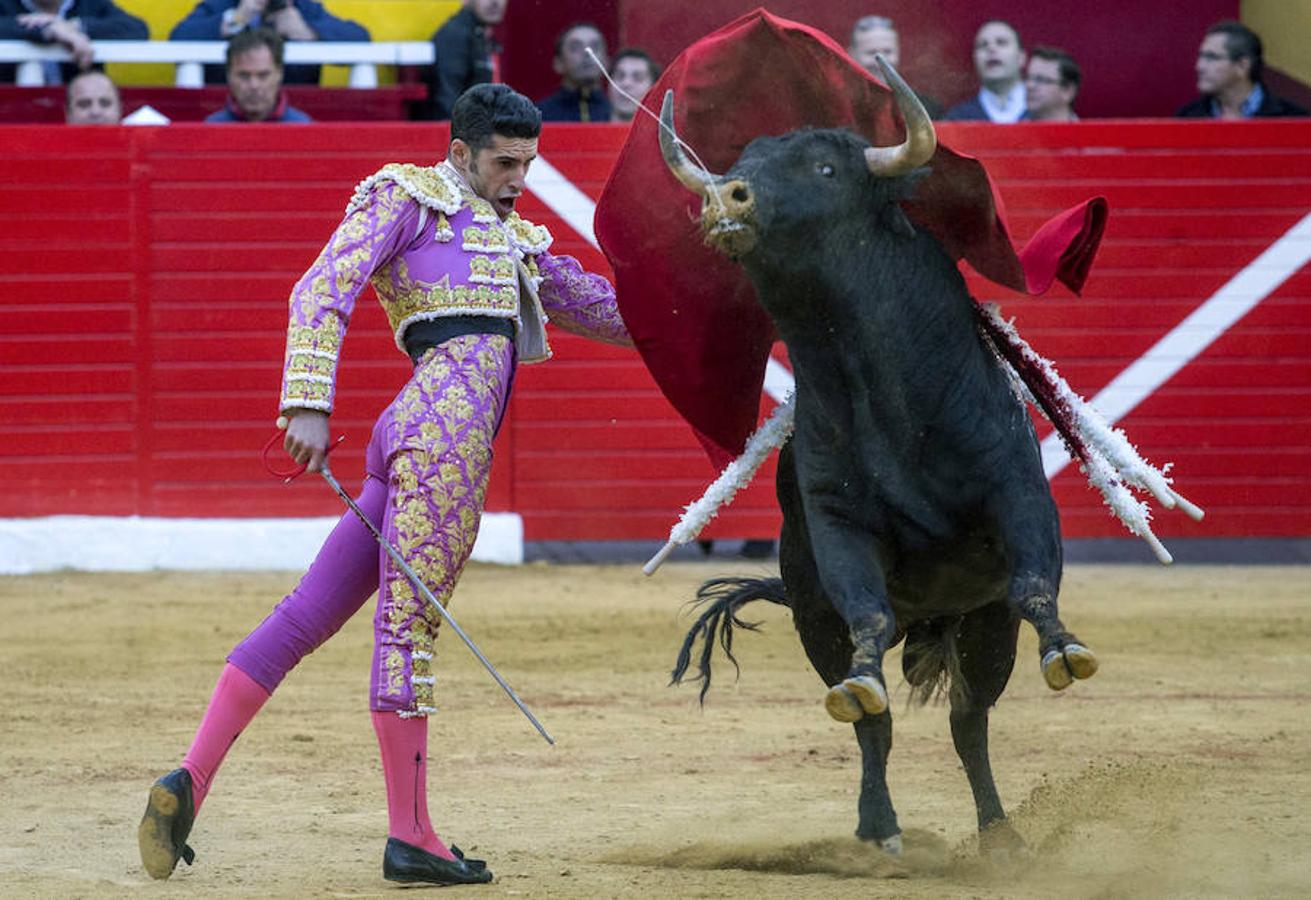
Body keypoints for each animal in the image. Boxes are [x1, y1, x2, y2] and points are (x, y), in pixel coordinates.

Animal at [665, 60, 1095, 855]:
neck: (884, 396)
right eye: (743, 161)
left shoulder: (1015, 494)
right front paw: (864, 684)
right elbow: (865, 628)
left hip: (981, 624)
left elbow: (1032, 585)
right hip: (813, 617)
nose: (724, 196)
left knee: (969, 720)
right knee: (878, 725)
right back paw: (880, 829)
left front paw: (1064, 649)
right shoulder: (835, 527)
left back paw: (999, 835)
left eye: (826, 167)